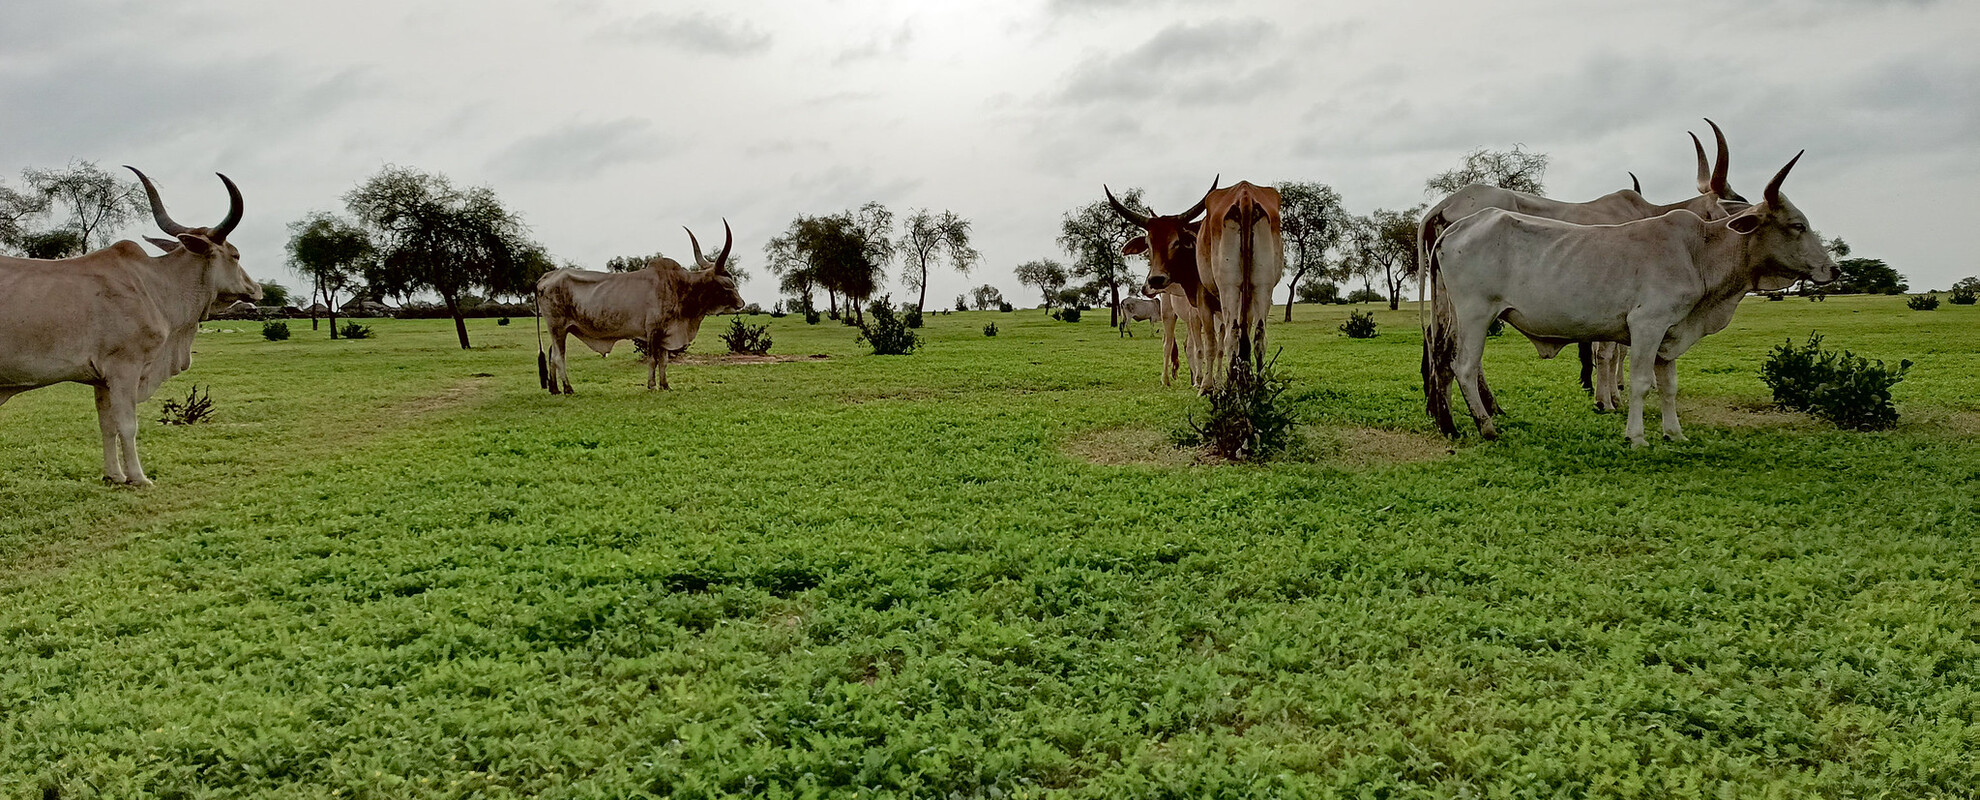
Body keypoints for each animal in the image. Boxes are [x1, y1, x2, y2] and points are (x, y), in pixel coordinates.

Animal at [0, 168, 259, 486]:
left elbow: (107, 425)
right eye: (235, 255)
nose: (256, 289)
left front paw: (114, 475)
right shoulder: (125, 368)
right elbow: (127, 425)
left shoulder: (101, 380)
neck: (154, 285)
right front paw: (138, 478)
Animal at [535, 222, 741, 394]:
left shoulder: (665, 333)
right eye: (727, 284)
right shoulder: (652, 331)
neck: (679, 285)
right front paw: (651, 385)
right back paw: (568, 388)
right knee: (558, 357)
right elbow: (652, 359)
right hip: (558, 328)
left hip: (560, 330)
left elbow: (664, 361)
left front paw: (665, 385)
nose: (741, 303)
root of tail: (546, 278)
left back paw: (555, 389)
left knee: (552, 355)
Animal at [1422, 152, 1834, 446]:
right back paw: (1486, 426)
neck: (1698, 250)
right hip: (1476, 314)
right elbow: (1638, 381)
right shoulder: (1646, 326)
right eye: (1797, 225)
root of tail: (1454, 226)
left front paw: (1674, 433)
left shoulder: (1670, 335)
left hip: (1454, 315)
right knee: (1464, 366)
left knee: (1442, 357)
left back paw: (1451, 425)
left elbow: (1668, 386)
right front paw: (1635, 435)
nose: (1832, 269)